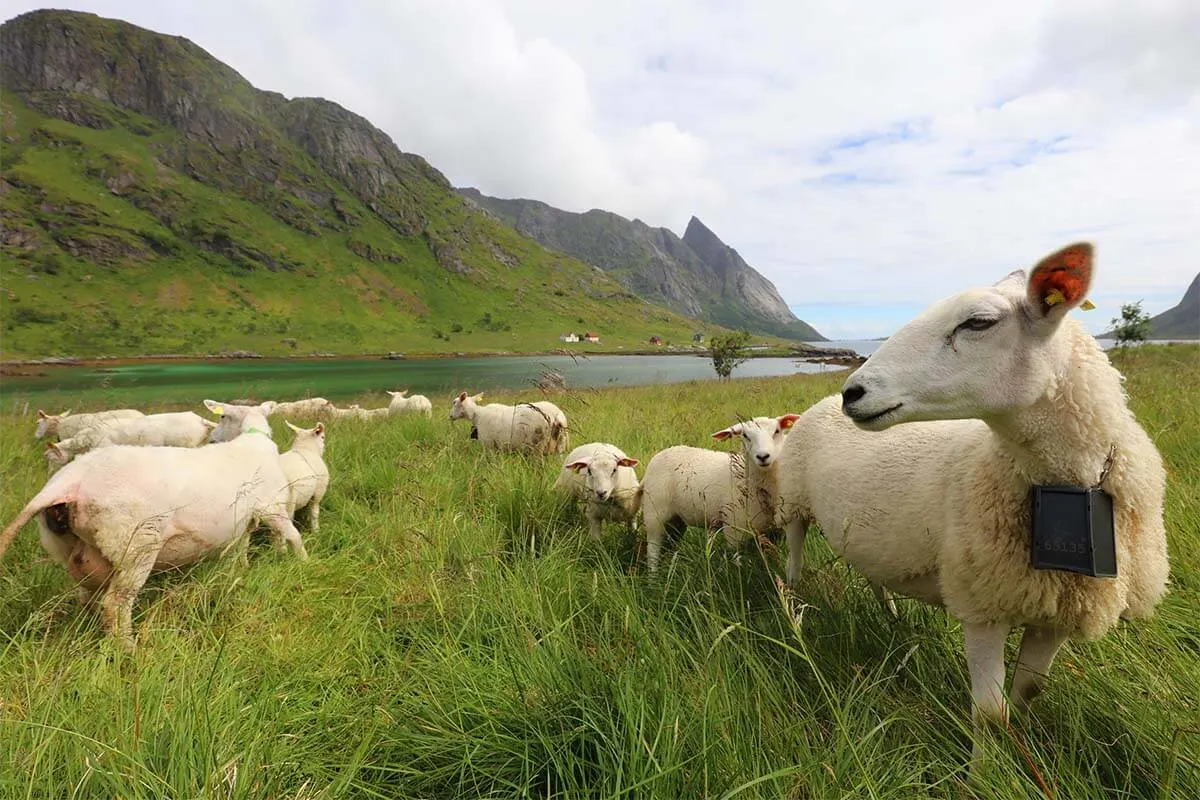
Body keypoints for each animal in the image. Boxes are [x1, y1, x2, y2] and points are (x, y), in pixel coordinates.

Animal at [643, 417, 801, 573]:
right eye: (745, 435)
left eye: (777, 431)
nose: (763, 457)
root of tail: (662, 453)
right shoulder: (734, 530)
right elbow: (735, 558)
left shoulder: (775, 534)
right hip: (654, 515)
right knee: (653, 548)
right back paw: (653, 575)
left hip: (677, 521)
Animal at [772, 242, 1166, 767]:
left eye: (978, 322)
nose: (852, 392)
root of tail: (814, 405)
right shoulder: (981, 605)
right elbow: (990, 715)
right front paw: (985, 772)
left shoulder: (1060, 613)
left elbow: (1027, 695)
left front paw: (1019, 750)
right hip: (793, 499)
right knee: (794, 550)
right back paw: (794, 597)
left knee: (874, 574)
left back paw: (891, 614)